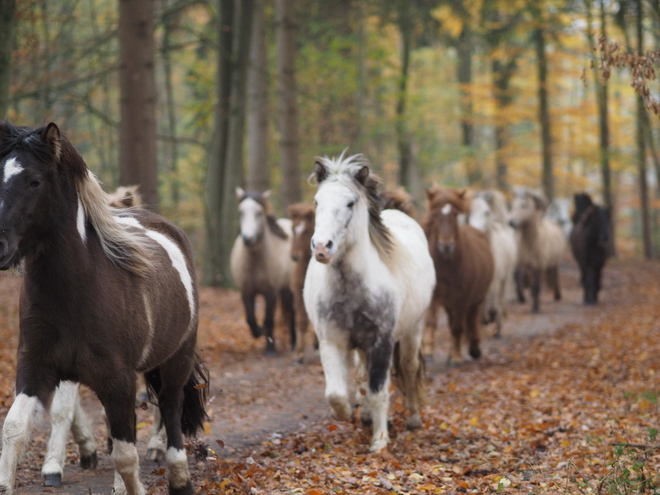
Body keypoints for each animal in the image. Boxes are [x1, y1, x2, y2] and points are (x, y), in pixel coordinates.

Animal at [0, 121, 208, 495]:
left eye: (34, 181)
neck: (76, 295)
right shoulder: (36, 369)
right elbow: (15, 429)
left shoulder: (118, 380)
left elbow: (126, 455)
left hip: (176, 360)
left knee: (170, 410)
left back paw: (179, 477)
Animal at [422, 186, 496, 364]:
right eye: (435, 215)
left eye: (455, 215)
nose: (446, 246)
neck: (446, 265)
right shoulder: (435, 295)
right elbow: (431, 321)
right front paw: (428, 350)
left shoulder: (463, 297)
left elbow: (457, 326)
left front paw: (456, 357)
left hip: (476, 298)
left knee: (470, 319)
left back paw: (473, 349)